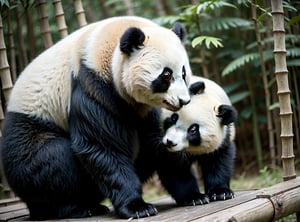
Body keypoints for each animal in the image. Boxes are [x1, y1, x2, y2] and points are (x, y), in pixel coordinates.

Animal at [0, 16, 197, 220]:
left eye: (183, 73)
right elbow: (102, 146)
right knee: (53, 161)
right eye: (166, 75)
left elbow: (158, 142)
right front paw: (137, 207)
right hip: (28, 135)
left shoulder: (145, 108)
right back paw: (79, 208)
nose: (184, 100)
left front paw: (193, 196)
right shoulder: (92, 85)